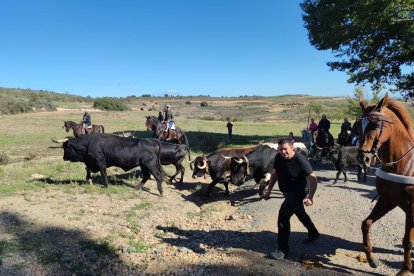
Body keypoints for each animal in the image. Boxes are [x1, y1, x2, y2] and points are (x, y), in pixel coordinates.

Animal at [356, 93, 414, 276]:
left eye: (375, 125)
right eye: (358, 126)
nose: (363, 158)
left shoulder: (412, 208)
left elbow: (407, 240)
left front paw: (405, 269)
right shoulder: (388, 200)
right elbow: (366, 224)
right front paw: (371, 258)